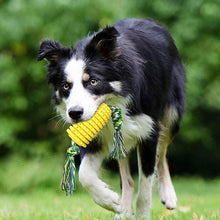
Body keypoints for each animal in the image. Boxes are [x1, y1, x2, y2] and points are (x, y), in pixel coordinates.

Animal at [38, 18, 186, 218]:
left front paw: (142, 215)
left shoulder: (149, 130)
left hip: (171, 114)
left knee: (162, 154)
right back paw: (123, 210)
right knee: (128, 178)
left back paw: (168, 195)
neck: (116, 99)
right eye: (66, 86)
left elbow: (145, 186)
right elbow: (85, 174)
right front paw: (110, 201)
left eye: (93, 81)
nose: (75, 113)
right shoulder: (95, 137)